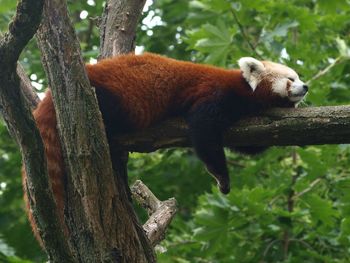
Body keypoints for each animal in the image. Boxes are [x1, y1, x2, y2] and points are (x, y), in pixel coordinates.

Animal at [21, 53, 308, 243]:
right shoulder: (214, 95)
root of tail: (51, 95)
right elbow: (203, 132)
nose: (306, 86)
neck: (244, 89)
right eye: (291, 78)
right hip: (109, 97)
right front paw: (222, 178)